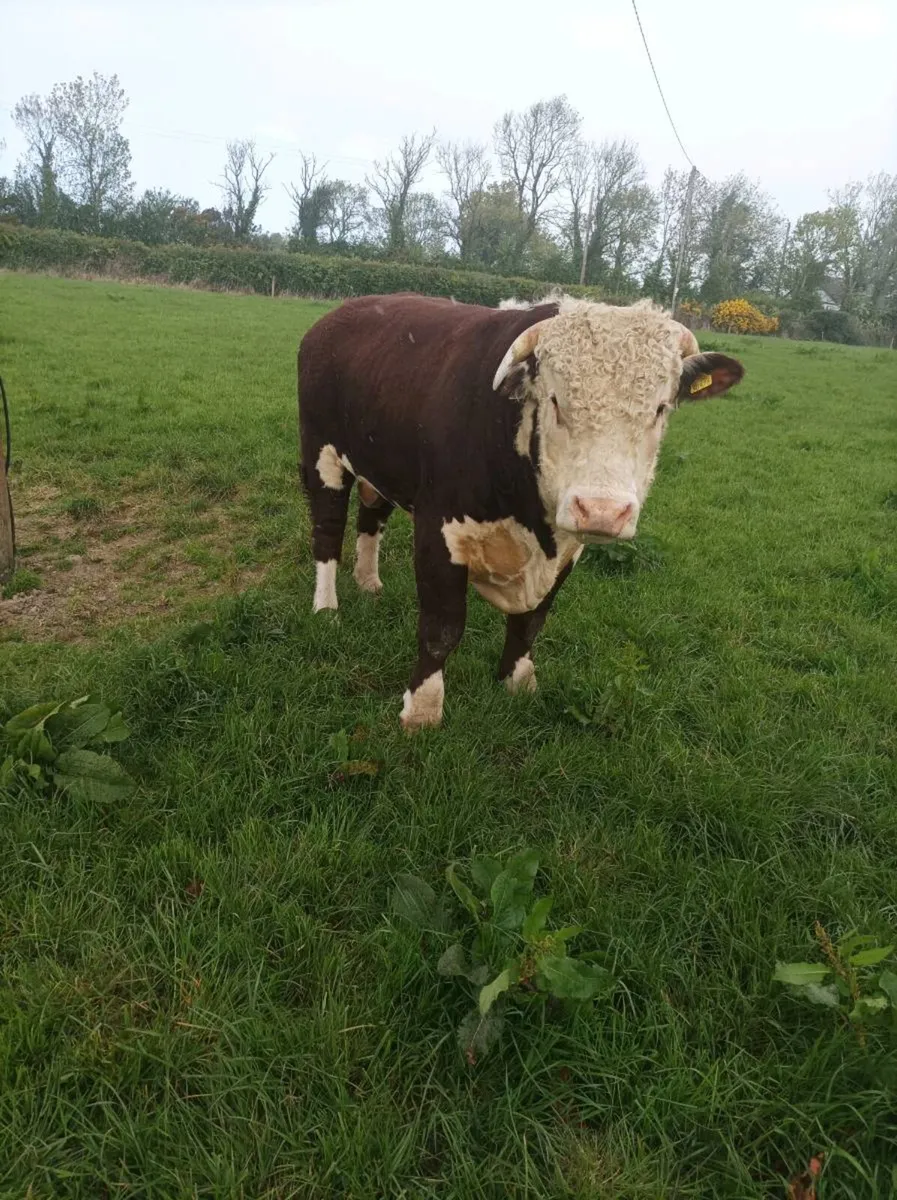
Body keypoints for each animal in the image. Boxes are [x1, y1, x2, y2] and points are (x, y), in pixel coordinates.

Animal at [298, 293, 744, 731]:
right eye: (556, 402)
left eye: (661, 408)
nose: (602, 510)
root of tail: (343, 312)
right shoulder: (438, 531)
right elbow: (442, 628)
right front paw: (422, 709)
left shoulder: (566, 550)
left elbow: (532, 621)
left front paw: (518, 680)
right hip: (322, 456)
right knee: (328, 533)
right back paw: (326, 608)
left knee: (370, 518)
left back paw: (368, 581)